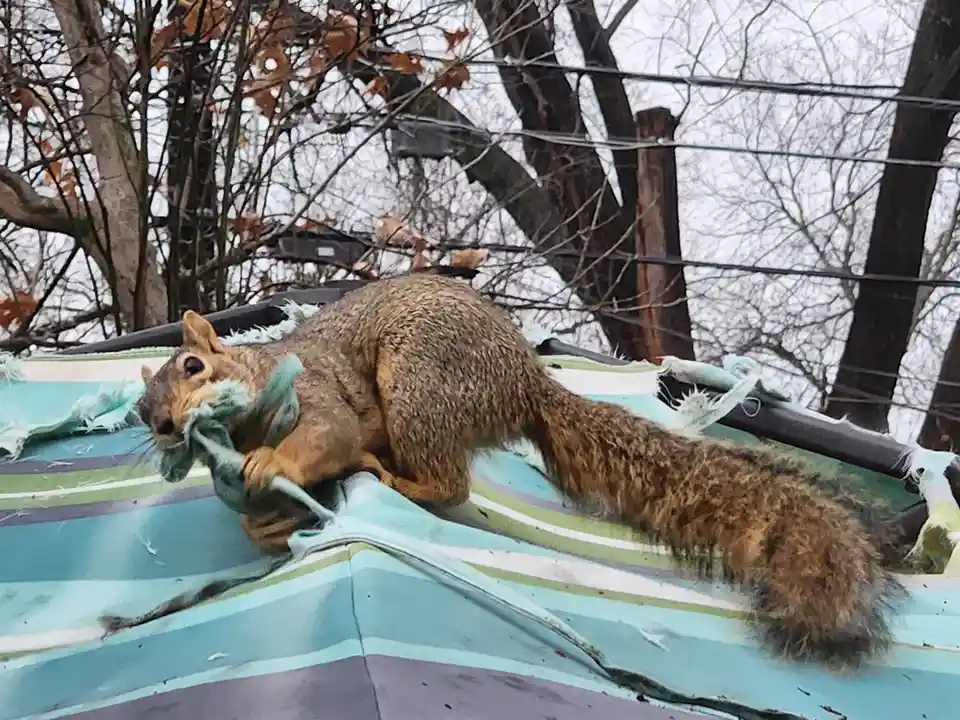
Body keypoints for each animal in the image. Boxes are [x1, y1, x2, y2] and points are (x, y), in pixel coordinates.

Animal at [137, 272, 904, 669]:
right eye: (145, 414)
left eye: (194, 366)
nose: (167, 425)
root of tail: (524, 385)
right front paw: (265, 525)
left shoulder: (319, 395)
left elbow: (327, 433)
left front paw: (272, 461)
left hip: (420, 384)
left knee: (446, 482)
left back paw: (397, 478)